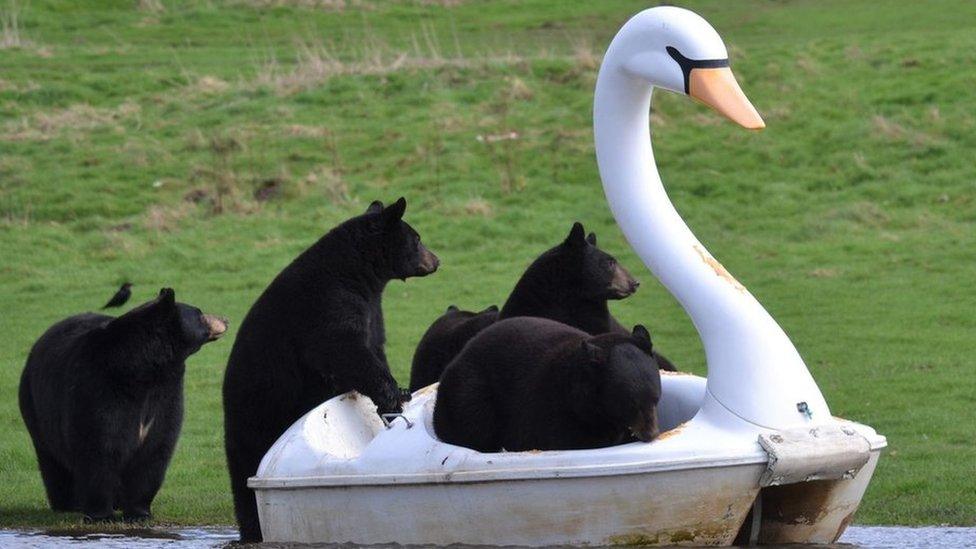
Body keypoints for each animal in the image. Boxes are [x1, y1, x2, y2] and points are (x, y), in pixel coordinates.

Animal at [19, 286, 227, 524]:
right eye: (199, 313)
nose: (225, 319)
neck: (144, 369)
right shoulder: (98, 390)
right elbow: (99, 449)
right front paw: (101, 515)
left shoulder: (166, 395)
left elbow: (155, 449)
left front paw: (139, 513)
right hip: (35, 406)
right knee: (52, 459)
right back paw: (67, 503)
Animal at [225, 197, 438, 540]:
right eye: (416, 239)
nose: (436, 260)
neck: (356, 273)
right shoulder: (327, 304)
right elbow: (343, 349)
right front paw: (394, 396)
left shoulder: (372, 309)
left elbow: (374, 346)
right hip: (257, 414)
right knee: (245, 475)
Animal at [434, 314, 664, 452]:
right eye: (630, 404)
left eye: (656, 399)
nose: (651, 434)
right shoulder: (552, 409)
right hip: (470, 393)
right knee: (474, 424)